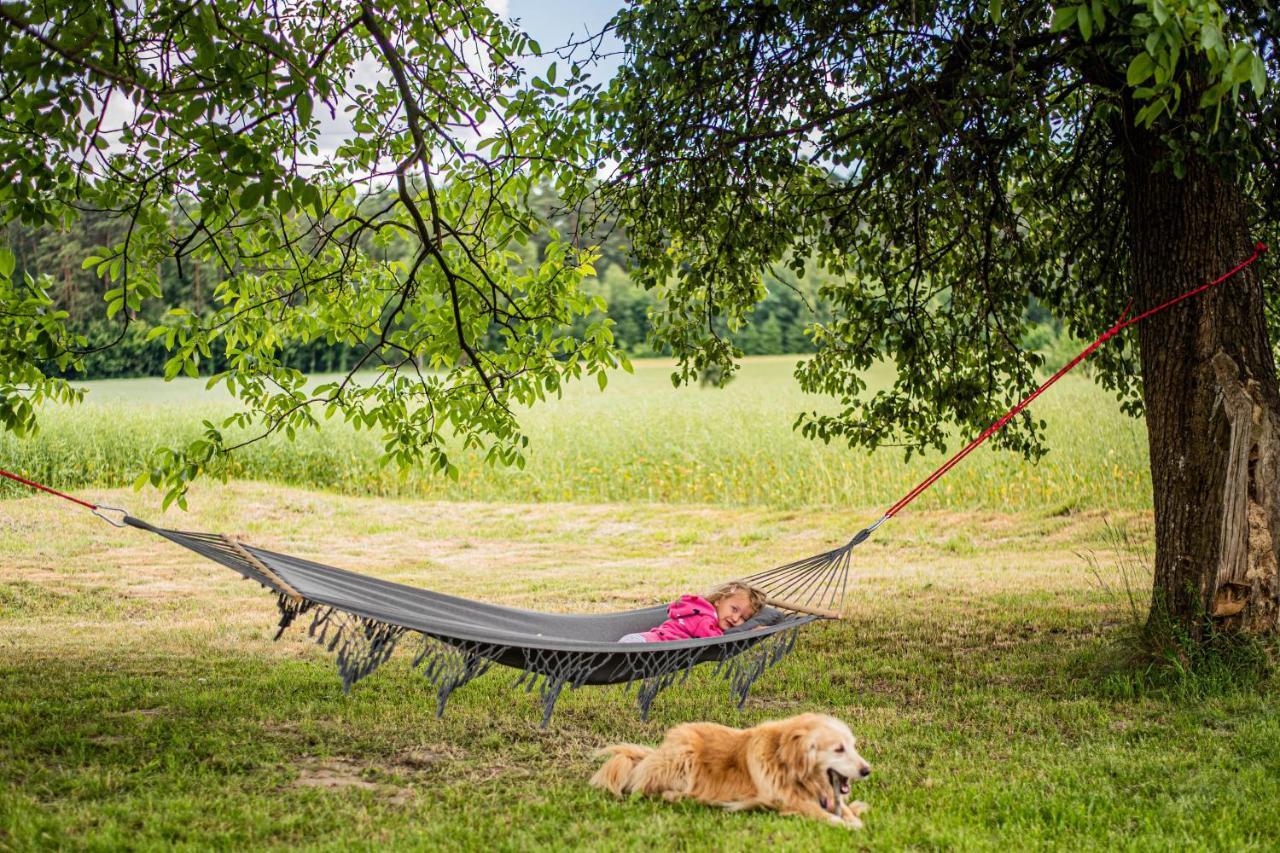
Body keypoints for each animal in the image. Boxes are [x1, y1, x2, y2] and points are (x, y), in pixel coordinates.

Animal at [588, 712, 870, 824]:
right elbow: (818, 812)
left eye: (852, 746)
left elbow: (843, 808)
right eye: (838, 749)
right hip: (683, 756)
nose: (867, 770)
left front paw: (853, 817)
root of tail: (656, 751)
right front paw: (847, 825)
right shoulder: (781, 799)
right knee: (647, 789)